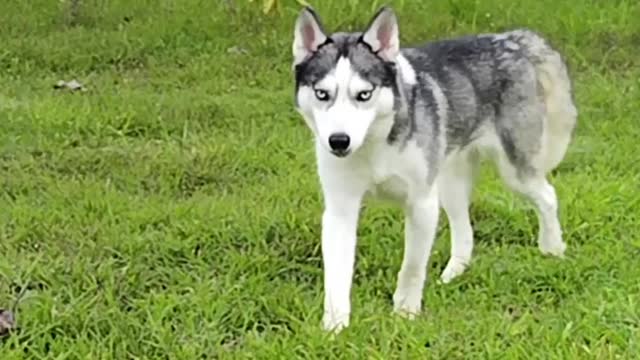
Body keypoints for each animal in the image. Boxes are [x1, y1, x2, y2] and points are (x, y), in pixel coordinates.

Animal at [292, 6, 576, 332]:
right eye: (322, 94)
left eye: (364, 94)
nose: (339, 141)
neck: (375, 146)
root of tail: (511, 38)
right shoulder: (340, 209)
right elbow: (336, 277)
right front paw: (335, 327)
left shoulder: (422, 204)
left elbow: (412, 267)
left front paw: (406, 312)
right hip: (450, 184)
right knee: (465, 233)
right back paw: (454, 273)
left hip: (514, 171)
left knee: (548, 196)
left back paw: (552, 248)